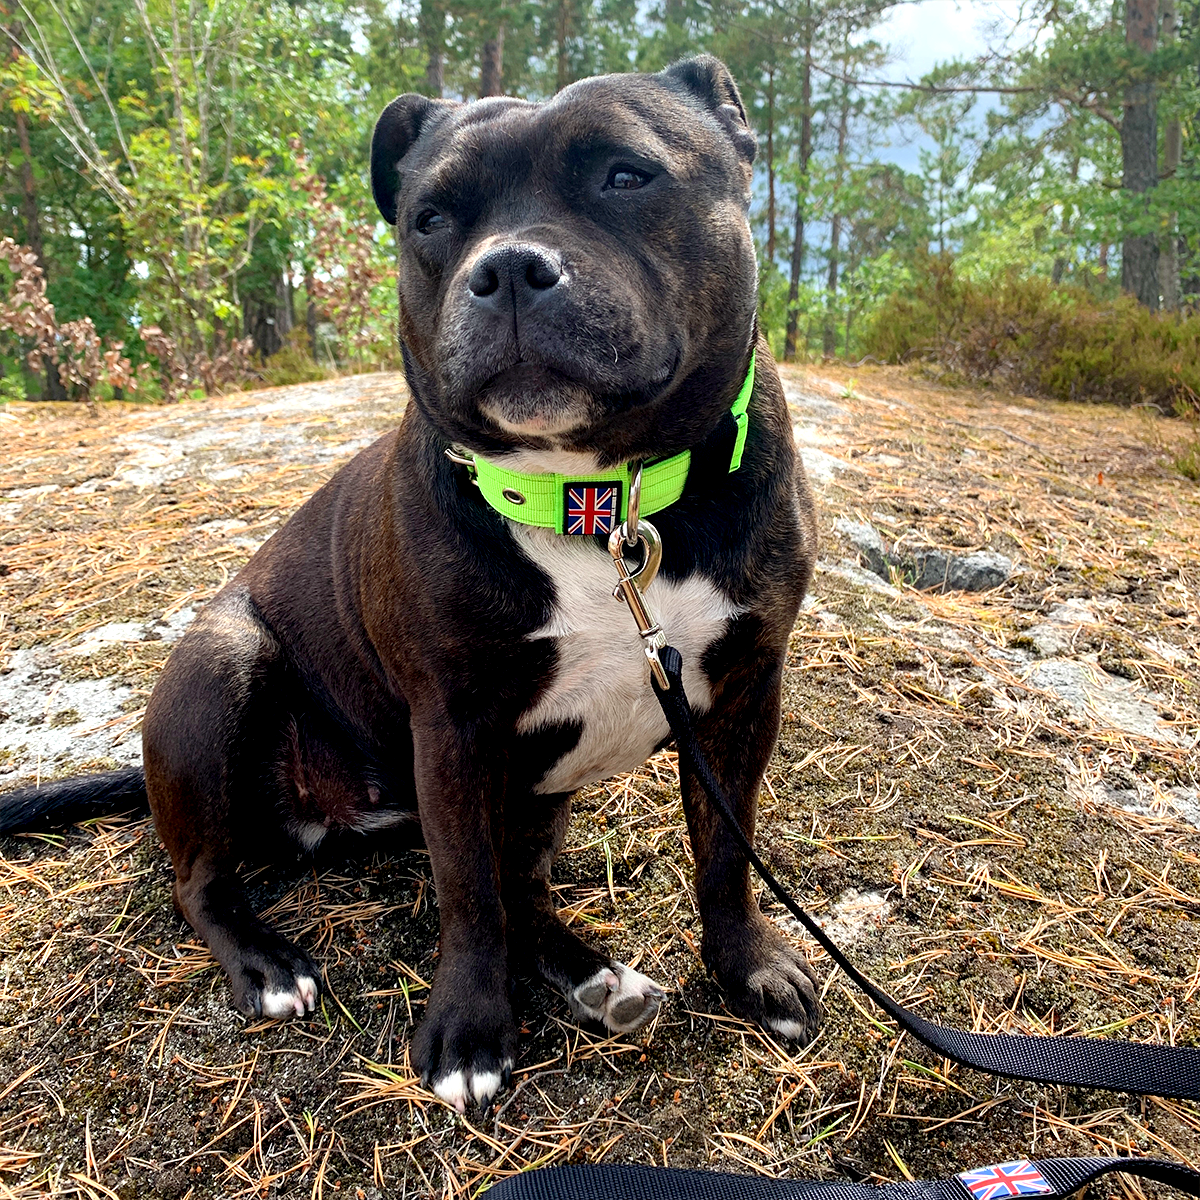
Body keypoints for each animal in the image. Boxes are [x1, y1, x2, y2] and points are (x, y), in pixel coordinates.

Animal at [0, 54, 816, 1104]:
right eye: (432, 219)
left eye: (626, 176)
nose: (506, 269)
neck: (597, 502)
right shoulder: (455, 724)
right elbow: (467, 896)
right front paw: (469, 1030)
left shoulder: (745, 691)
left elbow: (723, 848)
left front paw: (748, 965)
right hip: (225, 665)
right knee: (202, 881)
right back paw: (268, 964)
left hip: (511, 794)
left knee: (516, 886)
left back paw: (594, 977)